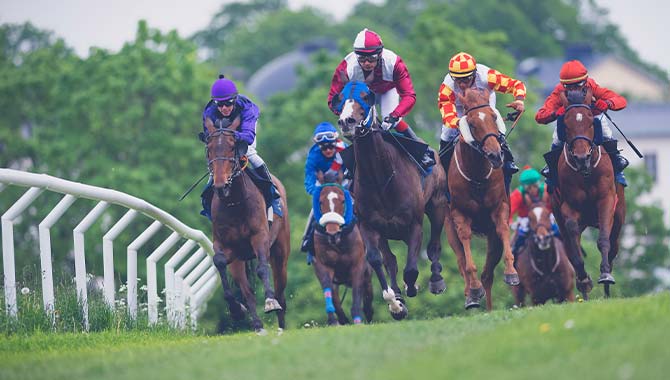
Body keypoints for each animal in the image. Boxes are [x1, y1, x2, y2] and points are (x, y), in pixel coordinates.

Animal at [203, 119, 290, 332]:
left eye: (232, 146)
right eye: (209, 149)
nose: (220, 185)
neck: (234, 203)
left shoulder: (260, 237)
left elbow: (262, 269)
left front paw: (269, 302)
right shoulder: (226, 246)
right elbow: (219, 262)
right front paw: (236, 310)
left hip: (281, 251)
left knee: (281, 291)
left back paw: (281, 325)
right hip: (239, 260)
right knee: (247, 290)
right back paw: (258, 325)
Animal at [312, 171, 376, 326]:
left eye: (342, 201)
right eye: (320, 202)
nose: (332, 233)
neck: (339, 242)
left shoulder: (358, 265)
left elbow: (357, 293)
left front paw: (357, 319)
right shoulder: (323, 265)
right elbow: (329, 290)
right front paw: (334, 320)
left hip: (367, 274)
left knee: (367, 296)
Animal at [336, 81, 452, 320]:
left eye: (365, 96)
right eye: (340, 98)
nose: (346, 121)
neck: (380, 178)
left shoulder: (415, 224)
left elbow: (412, 269)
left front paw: (413, 287)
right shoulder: (368, 225)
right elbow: (377, 259)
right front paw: (395, 302)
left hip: (437, 206)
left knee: (434, 245)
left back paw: (436, 280)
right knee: (391, 260)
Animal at [448, 87, 524, 310]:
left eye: (493, 116)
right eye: (472, 123)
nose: (495, 155)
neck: (477, 176)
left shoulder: (499, 207)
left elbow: (503, 228)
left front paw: (511, 273)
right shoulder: (459, 213)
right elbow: (465, 247)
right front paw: (473, 290)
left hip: (492, 240)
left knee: (488, 275)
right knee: (461, 261)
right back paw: (471, 296)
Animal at [552, 87, 628, 298]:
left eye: (590, 122)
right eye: (566, 124)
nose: (581, 157)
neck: (585, 173)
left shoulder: (606, 200)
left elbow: (603, 240)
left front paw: (605, 275)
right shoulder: (568, 207)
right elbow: (573, 239)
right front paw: (584, 280)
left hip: (619, 216)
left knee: (613, 245)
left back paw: (607, 291)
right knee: (570, 245)